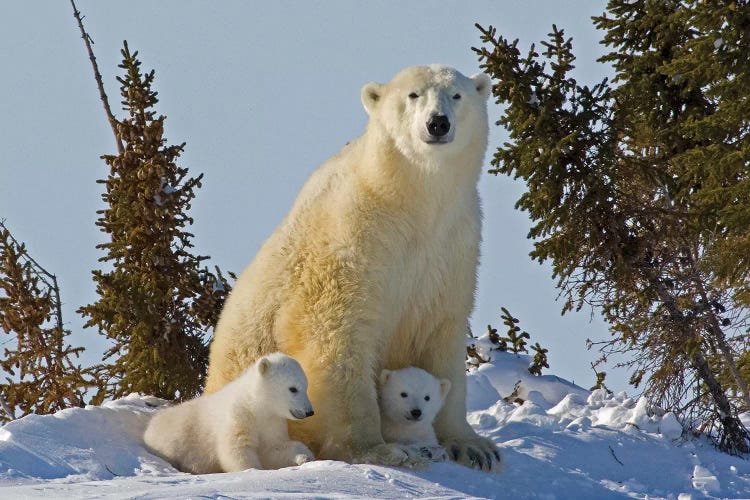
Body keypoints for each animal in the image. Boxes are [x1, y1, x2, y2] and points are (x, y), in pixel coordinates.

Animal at [143, 352, 314, 472]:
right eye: (293, 389)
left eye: (306, 386)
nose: (309, 412)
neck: (256, 406)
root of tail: (149, 428)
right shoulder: (238, 415)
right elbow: (236, 449)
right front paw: (253, 470)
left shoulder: (272, 423)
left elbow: (272, 448)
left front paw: (305, 456)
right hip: (173, 440)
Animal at [206, 64, 502, 470]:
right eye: (413, 95)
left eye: (456, 95)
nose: (438, 123)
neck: (413, 202)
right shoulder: (353, 232)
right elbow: (336, 332)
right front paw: (378, 450)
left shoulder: (452, 245)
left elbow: (439, 331)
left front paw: (473, 446)